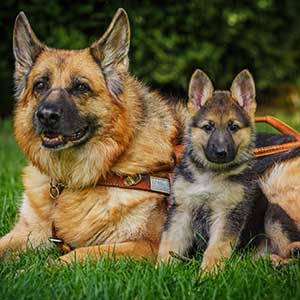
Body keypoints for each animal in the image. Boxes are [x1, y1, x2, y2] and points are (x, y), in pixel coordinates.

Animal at [0, 8, 185, 262]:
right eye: (40, 85)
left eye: (80, 87)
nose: (46, 115)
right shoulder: (27, 232)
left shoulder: (148, 246)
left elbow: (75, 255)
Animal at [157, 69, 258, 274]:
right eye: (208, 126)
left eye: (233, 127)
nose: (220, 152)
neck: (210, 175)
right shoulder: (181, 209)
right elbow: (169, 242)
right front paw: (160, 270)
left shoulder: (228, 214)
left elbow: (216, 248)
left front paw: (209, 274)